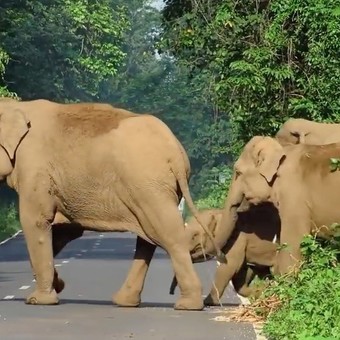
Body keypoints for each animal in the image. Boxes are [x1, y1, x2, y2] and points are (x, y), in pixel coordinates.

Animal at [0, 97, 222, 310]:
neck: (16, 106)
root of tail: (176, 153)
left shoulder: (33, 166)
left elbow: (36, 221)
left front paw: (38, 300)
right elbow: (67, 230)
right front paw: (59, 284)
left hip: (149, 185)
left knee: (168, 236)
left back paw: (188, 305)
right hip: (152, 189)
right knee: (149, 238)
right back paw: (125, 301)